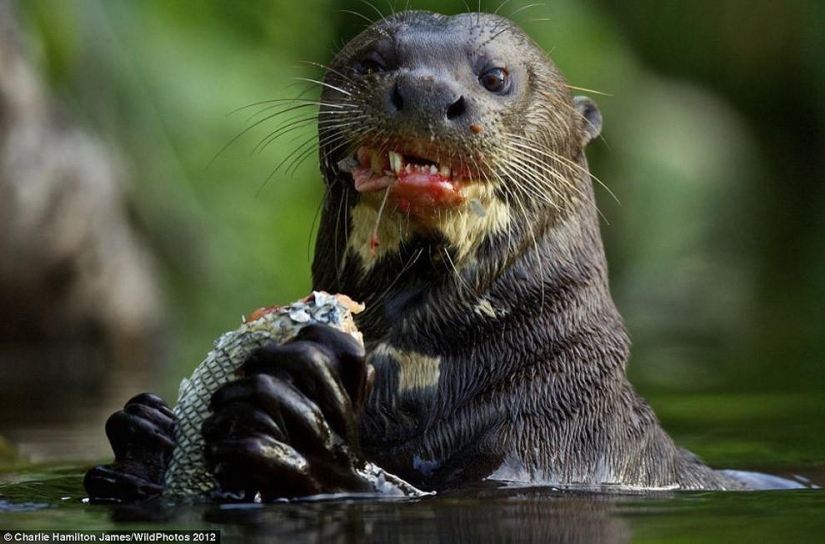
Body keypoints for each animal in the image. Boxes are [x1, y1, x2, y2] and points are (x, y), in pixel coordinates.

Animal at [83, 10, 748, 502]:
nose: (425, 90)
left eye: (495, 76)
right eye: (373, 62)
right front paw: (145, 433)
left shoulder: (543, 456)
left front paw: (303, 432)